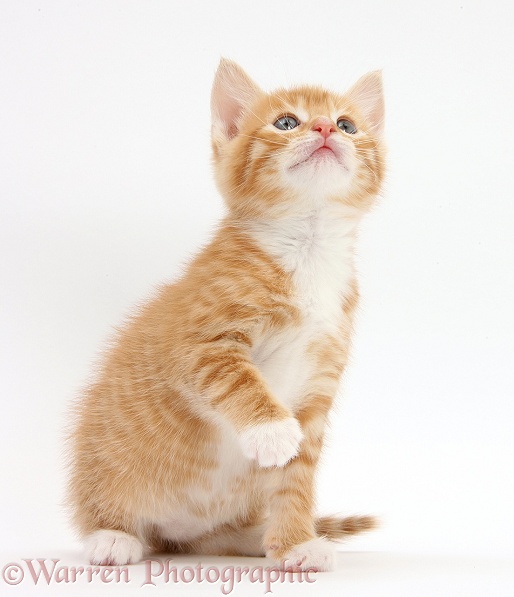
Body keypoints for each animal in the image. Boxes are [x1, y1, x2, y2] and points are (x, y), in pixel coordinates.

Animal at [66, 58, 382, 572]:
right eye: (286, 122)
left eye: (348, 125)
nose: (324, 127)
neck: (307, 249)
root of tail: (179, 536)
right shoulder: (198, 341)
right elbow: (236, 377)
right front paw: (271, 430)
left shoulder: (321, 381)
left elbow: (296, 476)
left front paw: (295, 542)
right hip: (104, 467)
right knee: (108, 511)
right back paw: (112, 536)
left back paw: (259, 537)